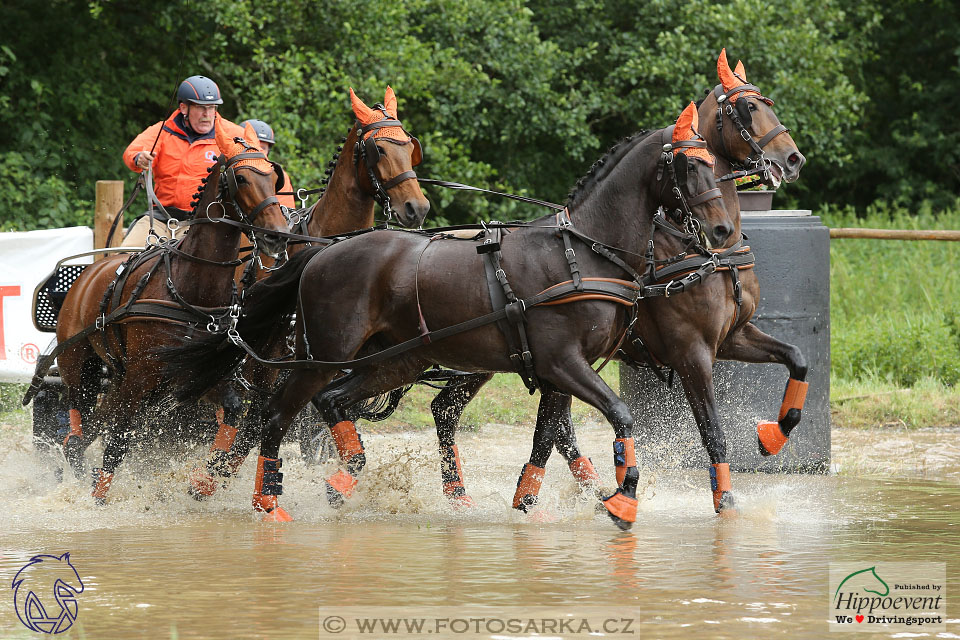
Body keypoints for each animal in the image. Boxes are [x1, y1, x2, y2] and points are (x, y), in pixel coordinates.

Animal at [22, 117, 288, 502]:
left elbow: (233, 413)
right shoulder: (140, 376)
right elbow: (119, 441)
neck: (192, 288)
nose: (279, 236)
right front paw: (99, 498)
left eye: (273, 176)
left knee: (91, 429)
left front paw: (205, 480)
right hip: (79, 368)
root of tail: (86, 274)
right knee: (76, 433)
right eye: (241, 178)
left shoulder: (197, 376)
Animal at [428, 50, 808, 516]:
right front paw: (725, 502)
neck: (705, 251)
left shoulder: (733, 336)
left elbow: (796, 358)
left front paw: (774, 434)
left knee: (535, 423)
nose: (793, 159)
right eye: (749, 107)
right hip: (484, 353)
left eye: (766, 101)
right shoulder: (692, 352)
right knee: (446, 409)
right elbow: (713, 432)